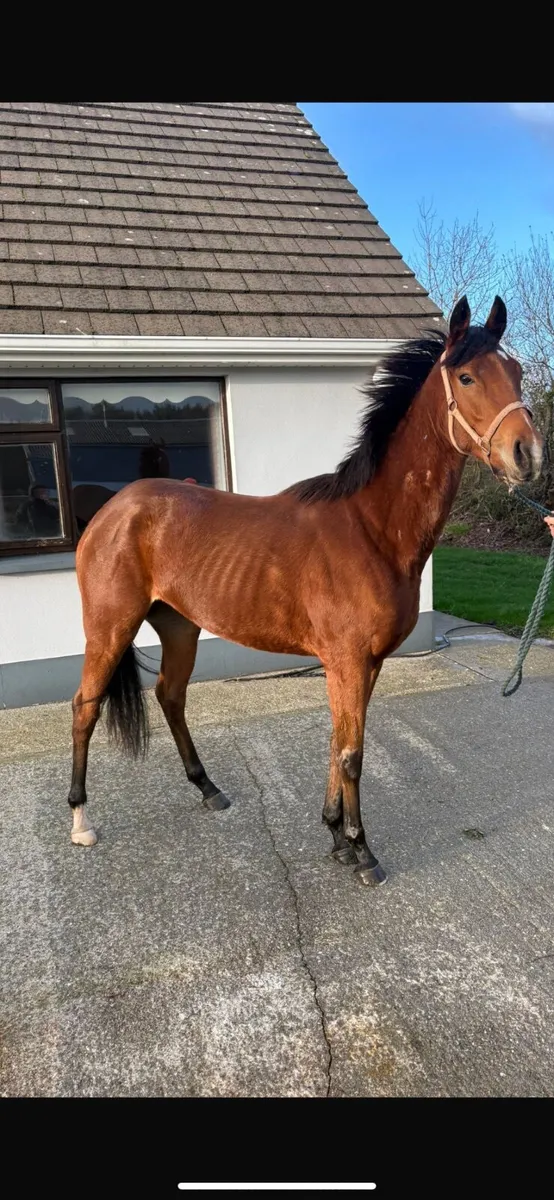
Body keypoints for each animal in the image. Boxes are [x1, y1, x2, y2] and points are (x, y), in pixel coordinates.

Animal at [67, 296, 543, 887]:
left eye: (517, 372)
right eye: (467, 376)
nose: (529, 455)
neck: (371, 528)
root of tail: (111, 510)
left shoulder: (364, 663)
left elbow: (338, 744)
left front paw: (336, 836)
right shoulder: (347, 660)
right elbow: (353, 753)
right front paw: (361, 851)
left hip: (179, 626)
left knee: (170, 697)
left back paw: (208, 788)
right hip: (109, 628)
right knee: (84, 707)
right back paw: (81, 820)